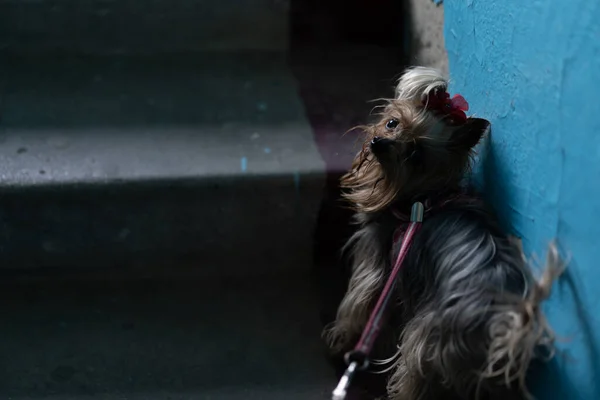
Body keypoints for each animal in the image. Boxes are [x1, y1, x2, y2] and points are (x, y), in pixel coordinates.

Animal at [326, 68, 564, 400]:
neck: (415, 196)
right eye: (392, 123)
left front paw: (341, 341)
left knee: (414, 372)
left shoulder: (376, 262)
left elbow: (358, 303)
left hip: (428, 338)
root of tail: (508, 319)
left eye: (415, 153)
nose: (378, 142)